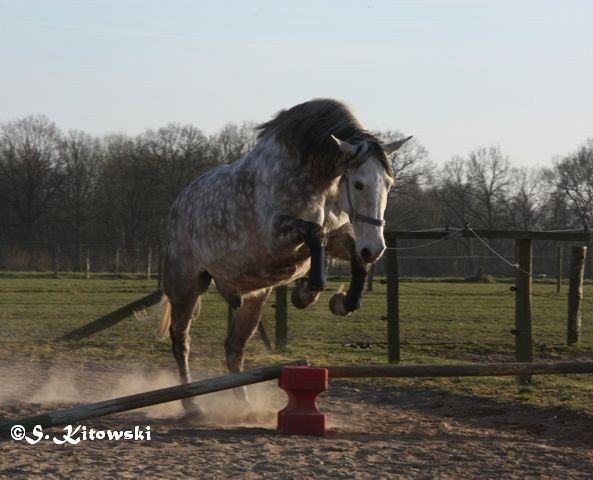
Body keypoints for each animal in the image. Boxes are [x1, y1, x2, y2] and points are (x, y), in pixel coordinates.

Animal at [155, 98, 410, 416]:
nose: (375, 248)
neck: (318, 180)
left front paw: (341, 301)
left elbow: (351, 257)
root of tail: (179, 203)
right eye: (358, 184)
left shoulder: (337, 237)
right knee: (181, 340)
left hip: (254, 298)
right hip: (186, 287)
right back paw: (192, 405)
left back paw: (244, 404)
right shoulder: (276, 239)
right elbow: (315, 234)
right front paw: (307, 291)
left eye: (388, 183)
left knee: (234, 346)